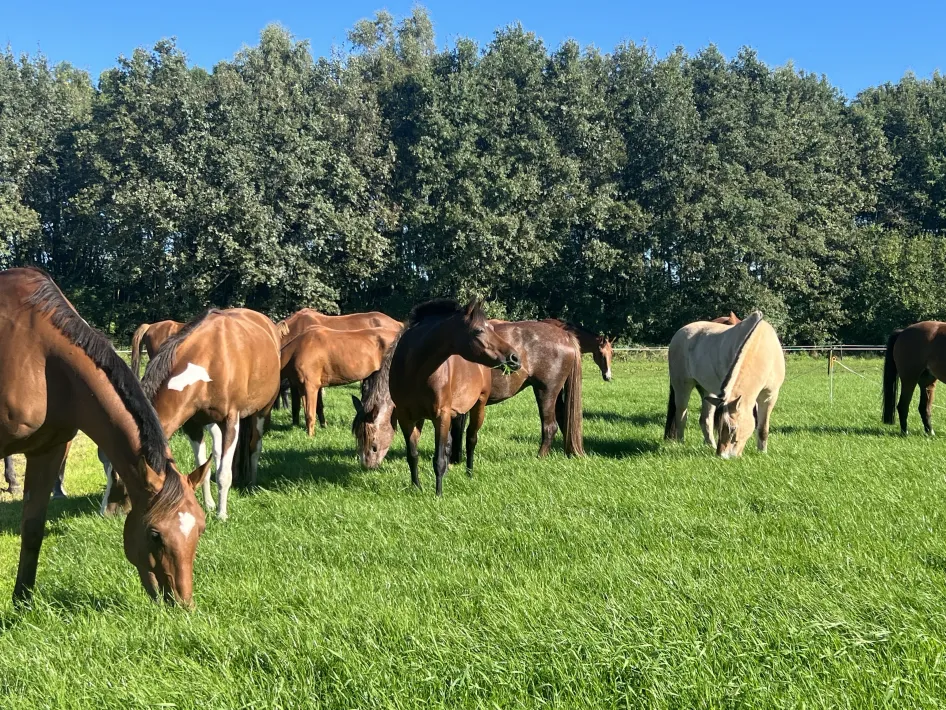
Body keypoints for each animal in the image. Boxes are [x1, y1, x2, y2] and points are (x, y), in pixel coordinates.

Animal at [0, 268, 208, 605]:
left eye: (200, 528)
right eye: (155, 534)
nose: (181, 602)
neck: (38, 355)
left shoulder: (50, 449)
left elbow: (32, 529)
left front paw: (22, 602)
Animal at [107, 308, 281, 521]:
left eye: (122, 474)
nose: (107, 513)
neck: (210, 359)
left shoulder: (231, 420)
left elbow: (224, 473)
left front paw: (221, 514)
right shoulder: (193, 425)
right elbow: (203, 466)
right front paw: (208, 504)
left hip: (262, 411)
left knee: (255, 445)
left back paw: (252, 484)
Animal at [382, 299, 520, 496]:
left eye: (492, 328)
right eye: (479, 330)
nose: (514, 358)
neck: (415, 369)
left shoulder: (441, 415)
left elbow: (439, 458)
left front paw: (438, 494)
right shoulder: (406, 417)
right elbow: (413, 455)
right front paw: (416, 487)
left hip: (479, 406)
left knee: (471, 439)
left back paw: (469, 473)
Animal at [664, 312, 785, 457]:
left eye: (733, 428)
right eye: (721, 427)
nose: (722, 456)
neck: (764, 350)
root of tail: (679, 333)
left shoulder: (769, 396)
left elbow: (762, 428)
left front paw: (762, 452)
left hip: (707, 391)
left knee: (705, 420)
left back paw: (710, 445)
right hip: (682, 387)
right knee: (681, 415)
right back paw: (680, 443)